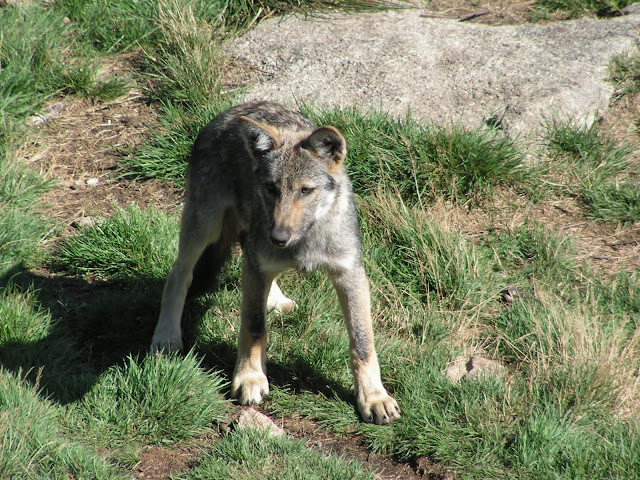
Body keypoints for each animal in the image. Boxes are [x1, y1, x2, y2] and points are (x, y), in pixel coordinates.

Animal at [151, 101, 400, 424]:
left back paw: (276, 299)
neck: (304, 242)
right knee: (180, 275)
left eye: (306, 190)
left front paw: (373, 398)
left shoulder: (350, 274)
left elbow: (363, 342)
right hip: (204, 227)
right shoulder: (256, 264)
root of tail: (233, 111)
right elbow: (254, 327)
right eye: (271, 188)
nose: (277, 237)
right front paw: (250, 378)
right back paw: (166, 337)